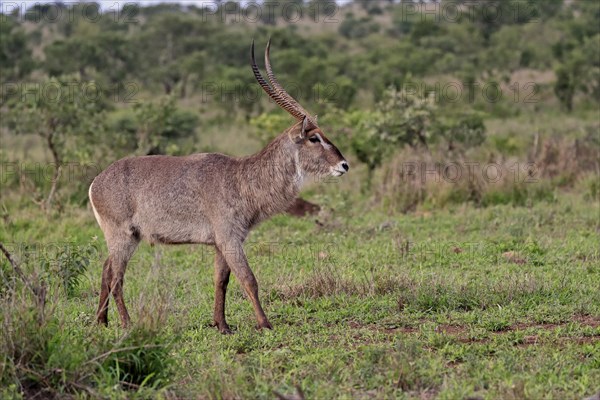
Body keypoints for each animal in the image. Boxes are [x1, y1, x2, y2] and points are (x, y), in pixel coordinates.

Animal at [91, 40, 350, 332]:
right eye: (314, 138)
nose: (344, 165)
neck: (242, 178)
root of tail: (97, 180)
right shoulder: (229, 238)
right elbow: (249, 278)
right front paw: (264, 324)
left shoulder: (220, 242)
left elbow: (221, 281)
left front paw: (222, 325)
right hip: (123, 236)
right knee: (116, 278)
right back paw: (127, 323)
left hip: (126, 238)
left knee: (106, 270)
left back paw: (101, 321)